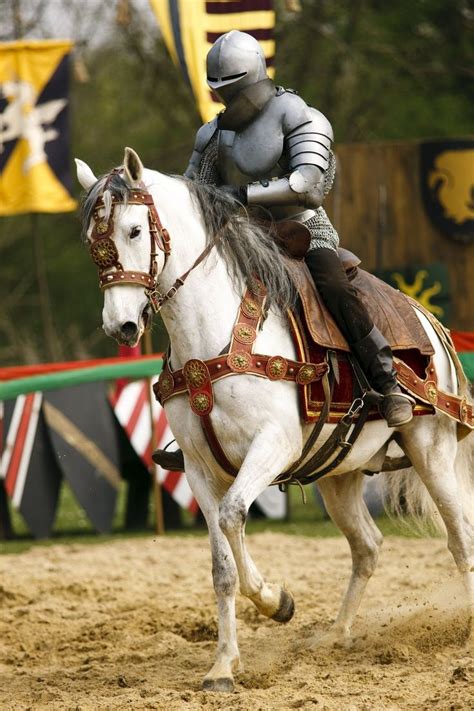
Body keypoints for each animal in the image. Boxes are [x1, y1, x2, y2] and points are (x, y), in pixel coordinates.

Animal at [76, 147, 472, 692]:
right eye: (92, 240)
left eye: (134, 230)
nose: (122, 325)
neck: (212, 332)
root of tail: (427, 319)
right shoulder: (199, 469)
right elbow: (221, 565)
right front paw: (223, 665)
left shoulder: (272, 447)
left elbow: (233, 516)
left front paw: (275, 602)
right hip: (339, 474)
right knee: (368, 546)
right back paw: (336, 635)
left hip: (431, 450)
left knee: (460, 537)